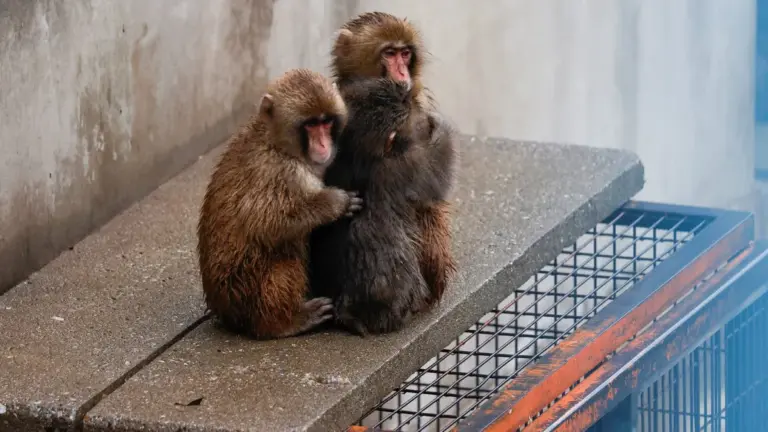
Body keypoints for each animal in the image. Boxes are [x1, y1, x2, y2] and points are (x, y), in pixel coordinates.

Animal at [196, 68, 363, 339]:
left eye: (326, 122)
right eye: (310, 124)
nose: (323, 145)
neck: (277, 144)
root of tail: (225, 315)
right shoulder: (281, 173)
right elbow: (265, 223)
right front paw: (335, 203)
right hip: (245, 295)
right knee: (286, 254)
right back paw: (283, 322)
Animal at [309, 77, 454, 335]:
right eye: (405, 105)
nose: (404, 89)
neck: (358, 158)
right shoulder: (406, 165)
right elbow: (437, 170)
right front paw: (438, 124)